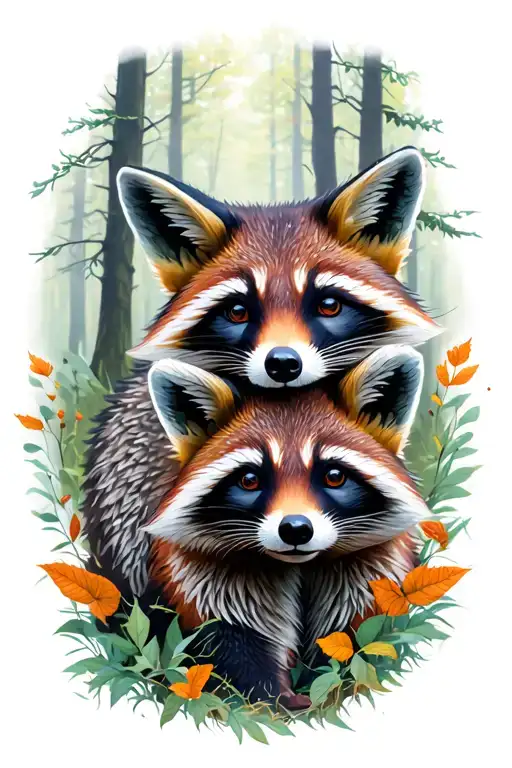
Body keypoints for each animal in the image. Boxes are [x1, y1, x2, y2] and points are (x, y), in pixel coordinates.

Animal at [141, 345, 430, 705]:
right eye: (249, 480)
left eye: (334, 476)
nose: (295, 529)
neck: (299, 565)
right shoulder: (208, 575)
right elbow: (234, 641)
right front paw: (272, 696)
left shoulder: (372, 568)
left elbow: (355, 633)